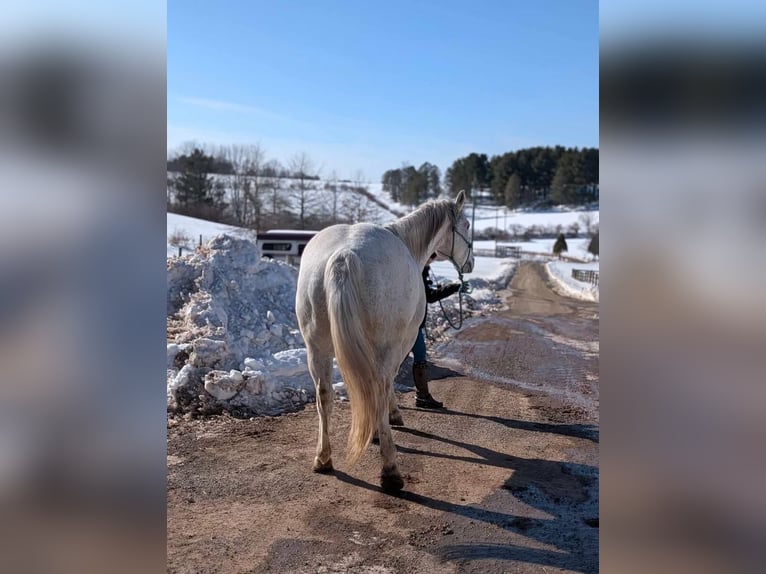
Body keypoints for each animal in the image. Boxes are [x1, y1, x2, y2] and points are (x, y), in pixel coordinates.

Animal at [295, 190, 474, 492]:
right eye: (468, 225)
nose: (470, 265)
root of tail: (343, 255)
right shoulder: (402, 342)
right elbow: (389, 383)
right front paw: (389, 422)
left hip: (316, 348)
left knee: (324, 395)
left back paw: (323, 459)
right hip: (382, 346)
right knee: (376, 388)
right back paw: (390, 471)